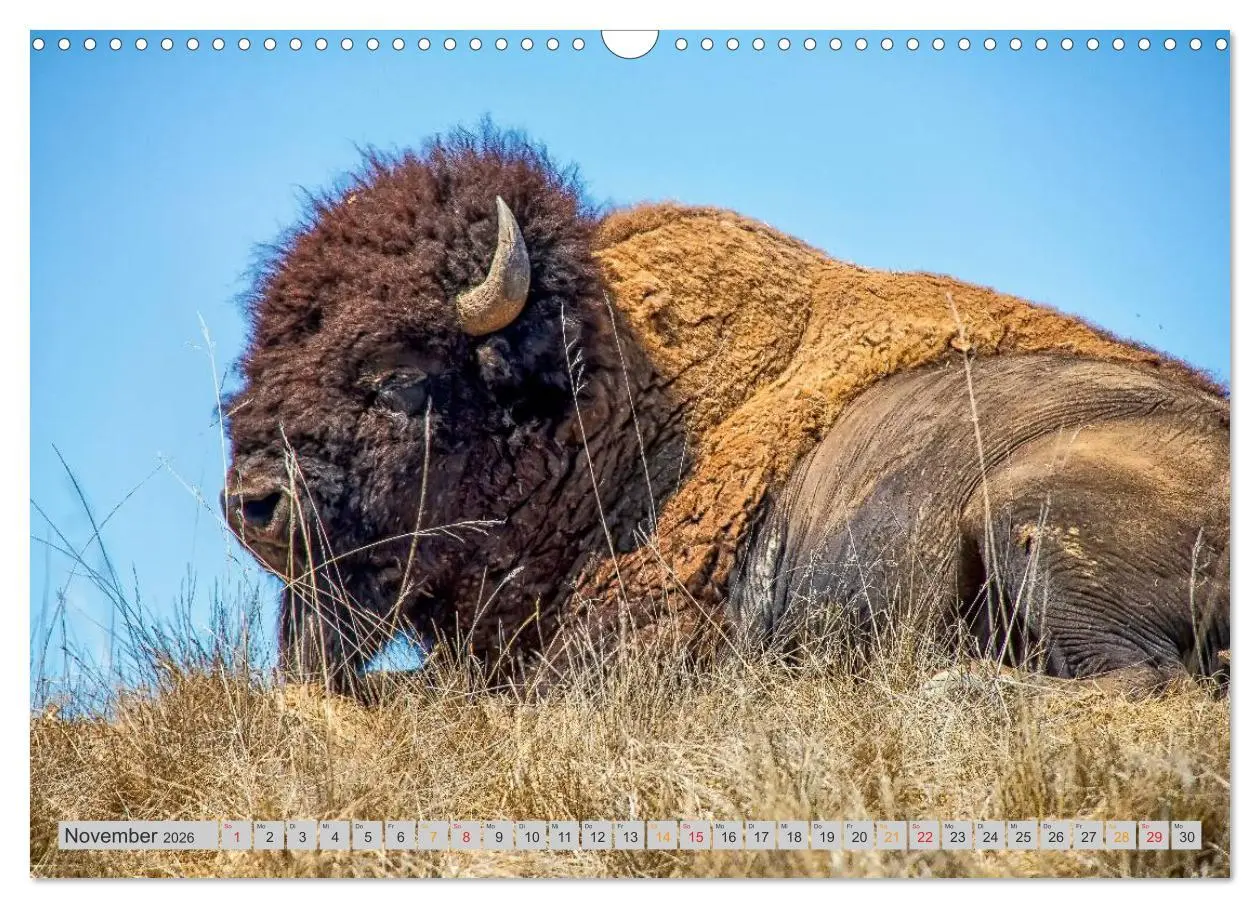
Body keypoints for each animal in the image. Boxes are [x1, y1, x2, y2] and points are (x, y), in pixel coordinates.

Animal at [223, 126, 1229, 694]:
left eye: (398, 375)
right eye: (261, 359)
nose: (253, 502)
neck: (618, 409)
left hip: (1024, 511)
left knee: (1139, 679)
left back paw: (955, 688)